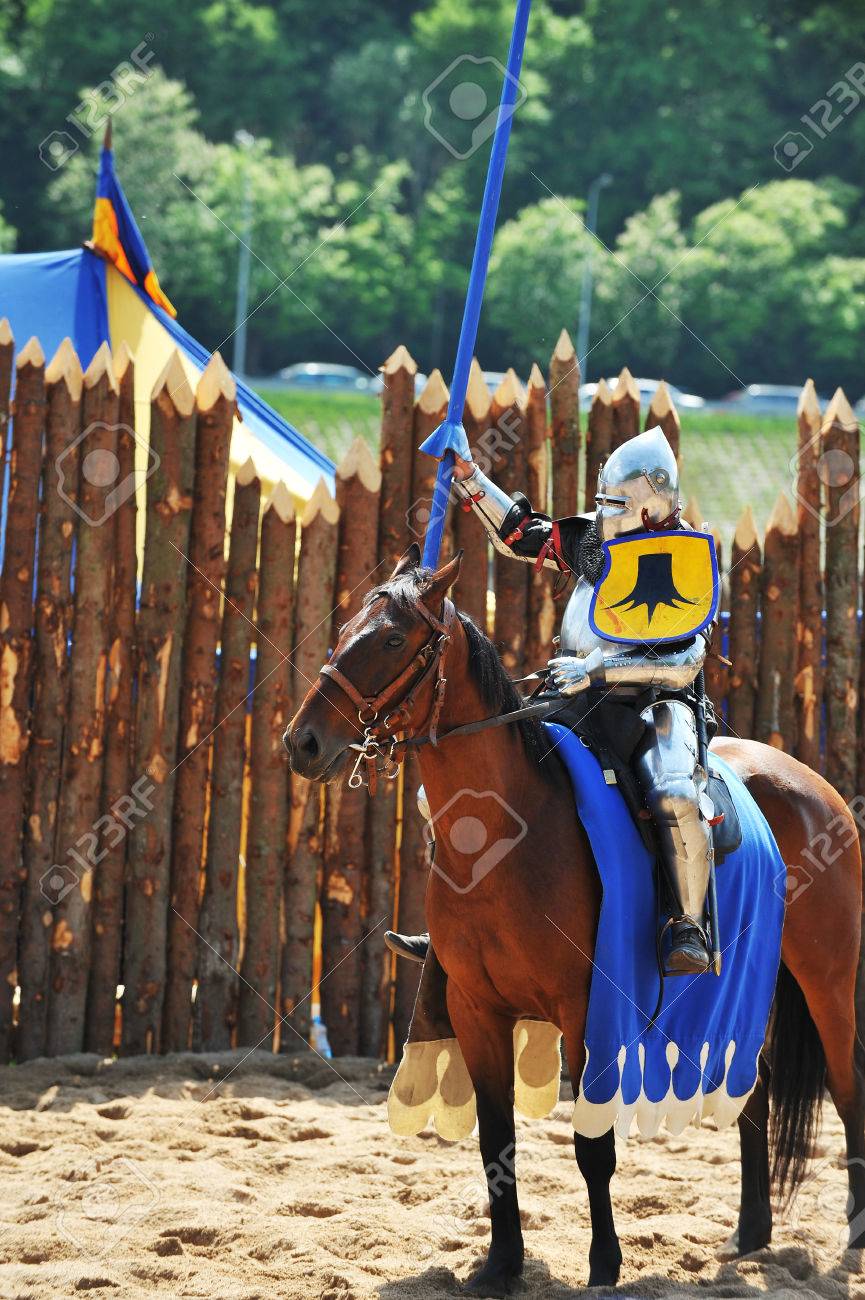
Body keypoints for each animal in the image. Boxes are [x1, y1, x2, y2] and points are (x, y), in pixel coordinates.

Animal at [284, 545, 865, 1295]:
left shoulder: (584, 1010)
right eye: (344, 631)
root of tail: (817, 787)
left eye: (389, 640)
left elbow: (593, 1148)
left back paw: (854, 1233)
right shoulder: (476, 1010)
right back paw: (750, 1233)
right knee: (752, 1092)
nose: (303, 742)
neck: (509, 833)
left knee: (847, 1089)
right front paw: (502, 1265)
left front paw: (603, 1264)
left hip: (827, 977)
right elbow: (496, 1140)